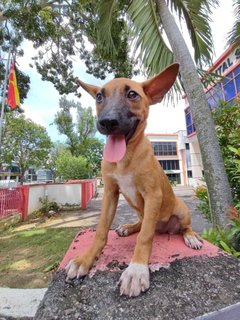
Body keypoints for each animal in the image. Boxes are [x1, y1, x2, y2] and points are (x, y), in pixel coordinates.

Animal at [65, 63, 202, 298]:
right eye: (99, 96)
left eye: (132, 94)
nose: (107, 122)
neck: (125, 157)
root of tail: (165, 229)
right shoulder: (110, 193)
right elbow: (101, 231)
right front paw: (86, 259)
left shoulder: (153, 194)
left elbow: (145, 237)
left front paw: (136, 270)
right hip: (141, 211)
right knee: (143, 223)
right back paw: (128, 227)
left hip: (181, 210)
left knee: (180, 227)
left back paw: (190, 236)